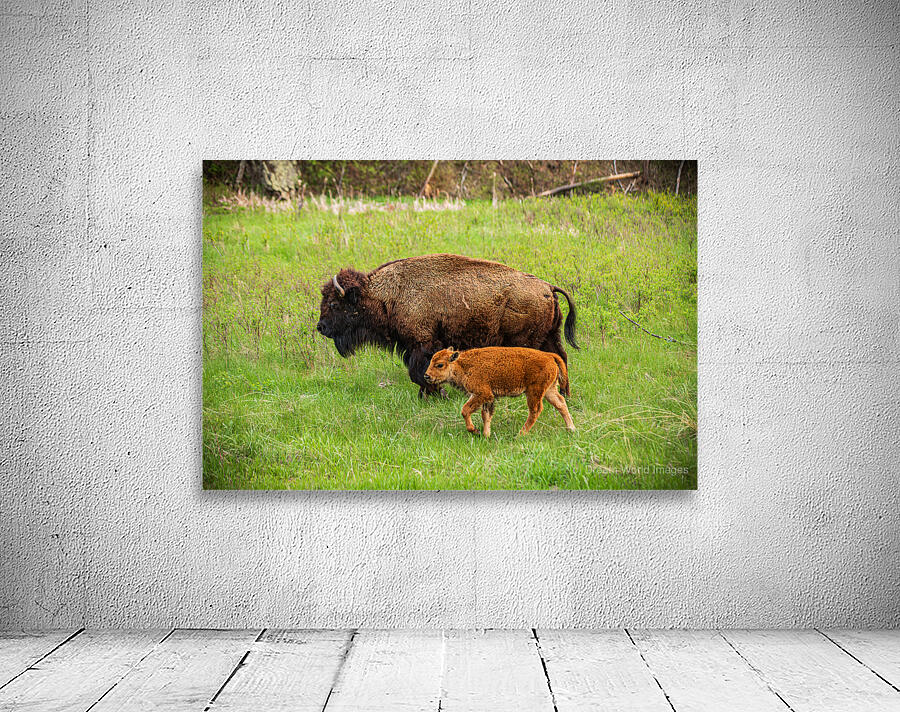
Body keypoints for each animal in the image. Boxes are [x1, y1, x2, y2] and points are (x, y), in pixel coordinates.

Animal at [316, 253, 578, 396]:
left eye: (333, 303)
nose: (321, 327)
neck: (387, 294)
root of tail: (548, 287)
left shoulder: (423, 344)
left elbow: (419, 373)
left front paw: (436, 394)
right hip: (550, 336)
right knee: (562, 358)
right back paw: (565, 395)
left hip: (527, 341)